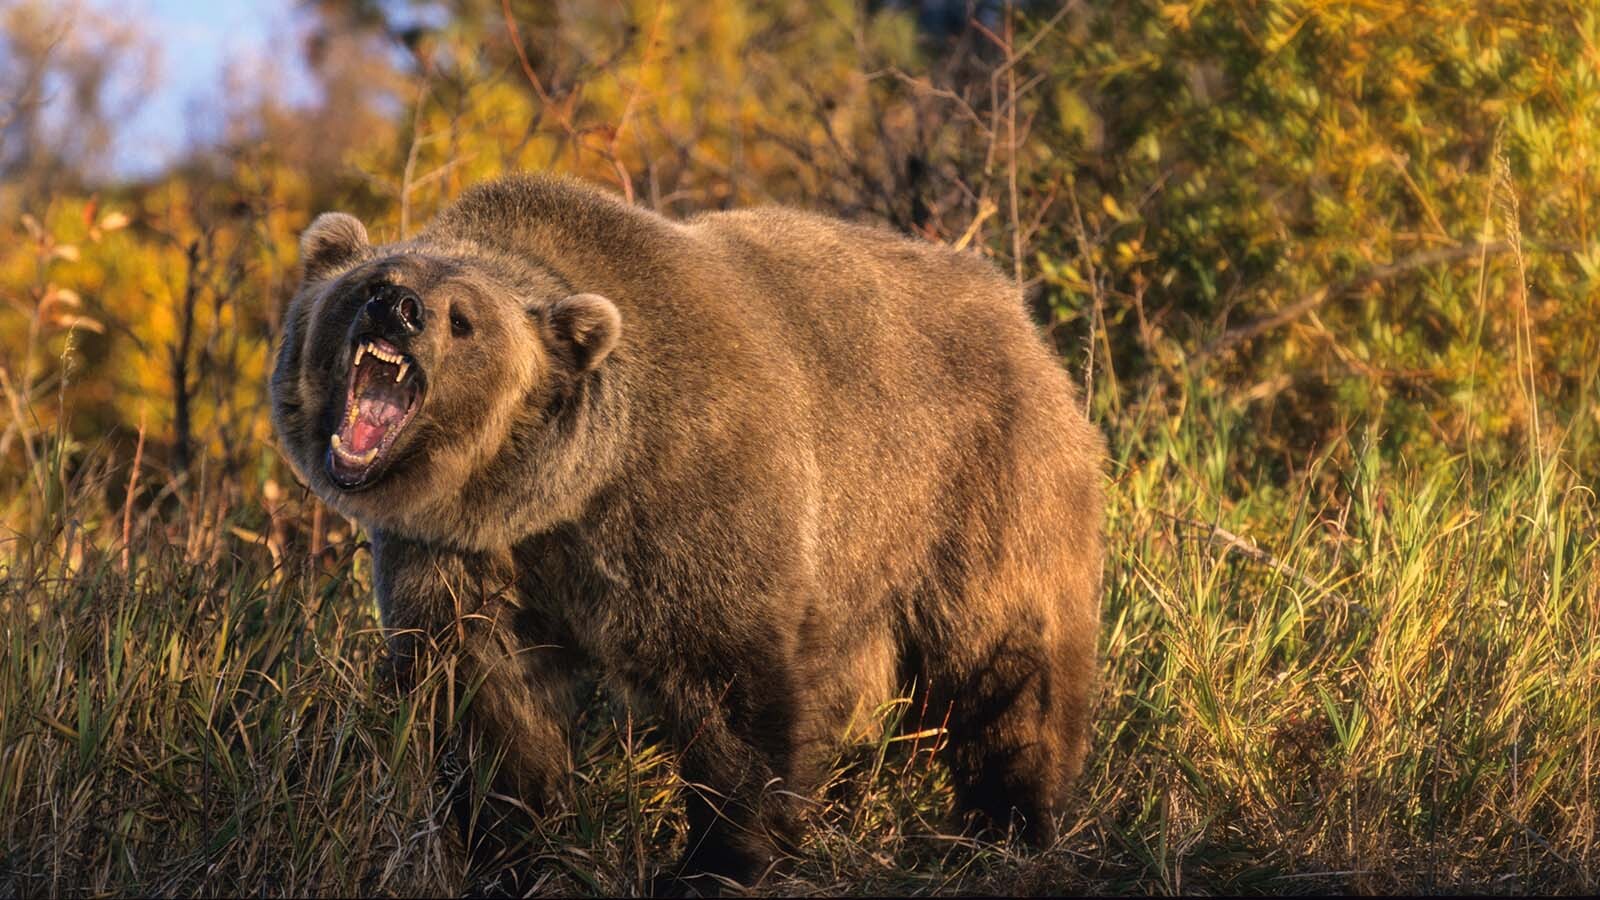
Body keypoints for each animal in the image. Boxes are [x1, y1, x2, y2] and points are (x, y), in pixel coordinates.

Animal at [270, 174, 1105, 892]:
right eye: (371, 283)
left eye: (463, 318)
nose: (398, 308)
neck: (548, 493)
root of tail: (1015, 308)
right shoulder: (462, 555)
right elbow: (488, 696)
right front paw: (510, 843)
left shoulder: (689, 498)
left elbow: (728, 684)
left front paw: (718, 861)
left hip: (970, 476)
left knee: (1005, 650)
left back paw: (1005, 819)